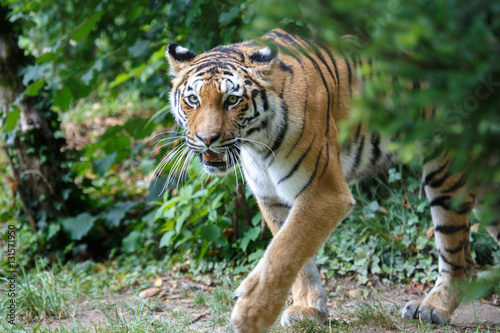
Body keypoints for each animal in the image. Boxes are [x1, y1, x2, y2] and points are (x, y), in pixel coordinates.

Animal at [165, 29, 500, 330]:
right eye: (193, 99)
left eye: (232, 100)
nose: (207, 139)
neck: (256, 143)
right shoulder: (272, 198)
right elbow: (297, 257)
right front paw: (308, 309)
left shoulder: (323, 193)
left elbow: (284, 251)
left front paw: (251, 314)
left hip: (446, 172)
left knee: (459, 259)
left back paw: (432, 308)